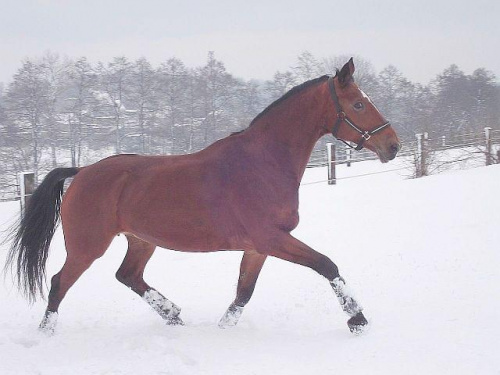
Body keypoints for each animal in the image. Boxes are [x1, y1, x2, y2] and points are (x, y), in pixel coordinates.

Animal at [4, 58, 402, 334]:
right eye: (359, 105)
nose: (393, 145)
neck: (264, 163)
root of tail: (83, 171)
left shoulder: (258, 247)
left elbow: (243, 292)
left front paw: (223, 330)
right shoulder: (271, 238)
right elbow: (326, 265)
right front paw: (357, 319)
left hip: (141, 240)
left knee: (127, 275)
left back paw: (173, 315)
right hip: (88, 246)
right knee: (59, 284)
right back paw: (46, 334)